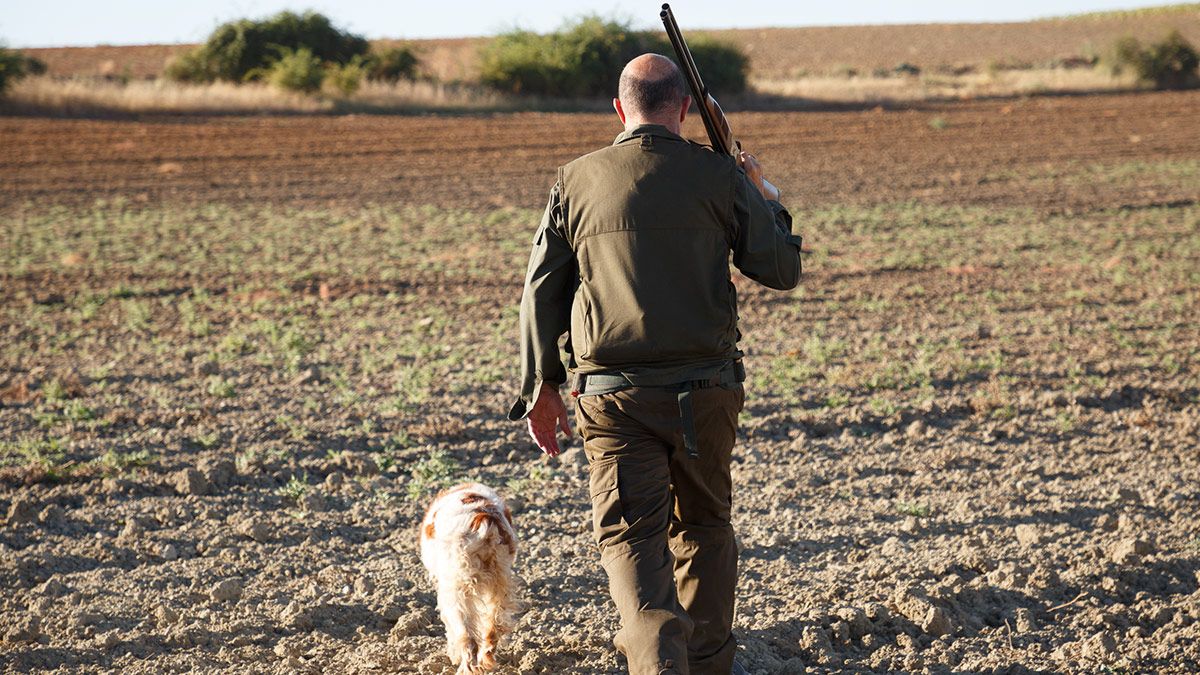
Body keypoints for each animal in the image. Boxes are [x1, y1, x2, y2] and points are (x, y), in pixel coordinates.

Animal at [420, 480, 518, 667]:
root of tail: (484, 518)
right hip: (500, 585)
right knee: (492, 631)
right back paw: (485, 661)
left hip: (456, 592)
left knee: (467, 639)